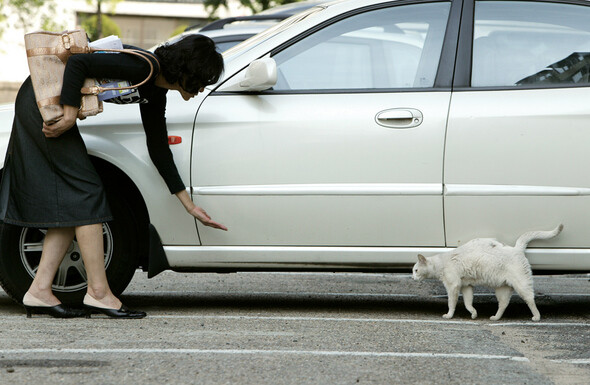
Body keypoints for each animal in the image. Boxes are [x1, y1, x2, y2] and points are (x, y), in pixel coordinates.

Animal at [412, 225, 564, 320]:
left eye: (416, 270)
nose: (412, 278)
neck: (442, 262)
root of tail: (516, 248)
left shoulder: (453, 286)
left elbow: (451, 303)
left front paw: (449, 315)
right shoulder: (466, 286)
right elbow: (468, 303)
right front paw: (473, 314)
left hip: (522, 285)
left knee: (530, 299)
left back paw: (536, 317)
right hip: (502, 289)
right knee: (503, 304)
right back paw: (495, 318)